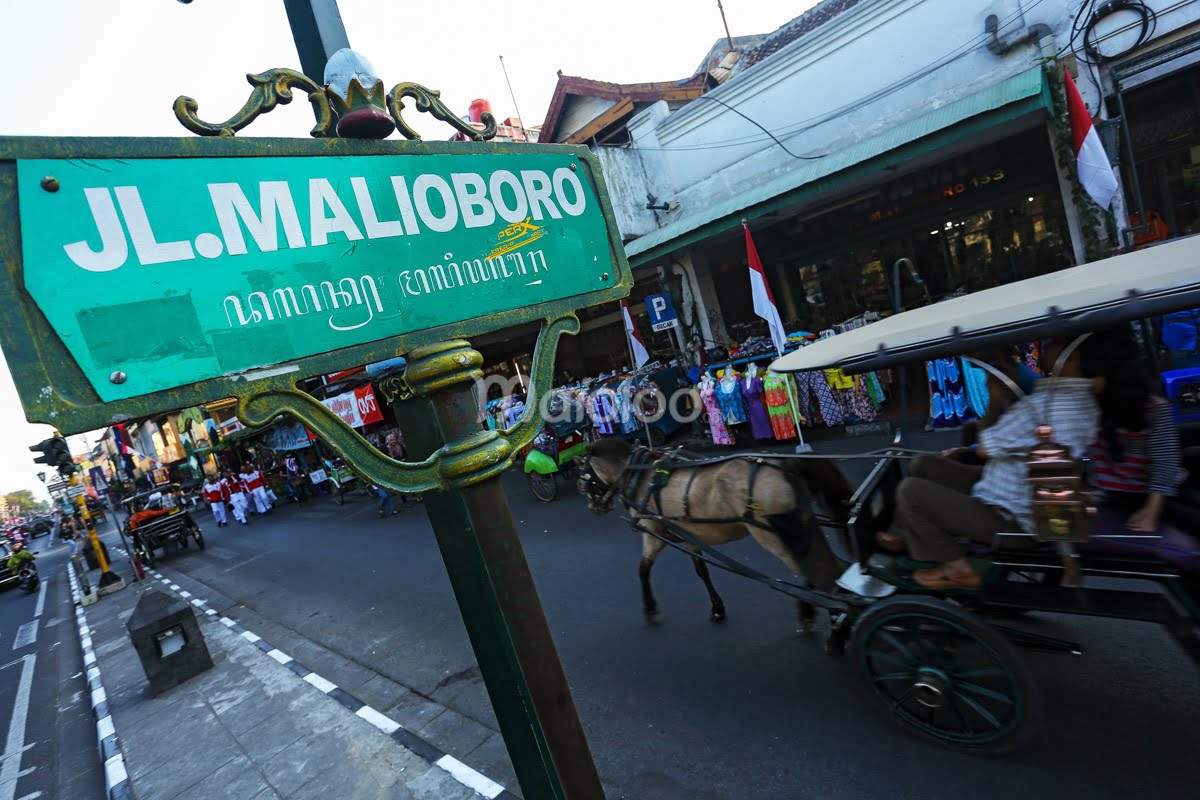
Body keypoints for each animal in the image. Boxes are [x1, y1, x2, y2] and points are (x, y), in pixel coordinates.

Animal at [578, 438, 854, 633]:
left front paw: (650, 609)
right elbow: (701, 570)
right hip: (800, 525)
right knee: (822, 563)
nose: (593, 508)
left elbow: (643, 569)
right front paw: (718, 609)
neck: (638, 473)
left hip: (773, 535)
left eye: (584, 479)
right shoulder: (689, 535)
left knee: (816, 567)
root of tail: (785, 463)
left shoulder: (653, 533)